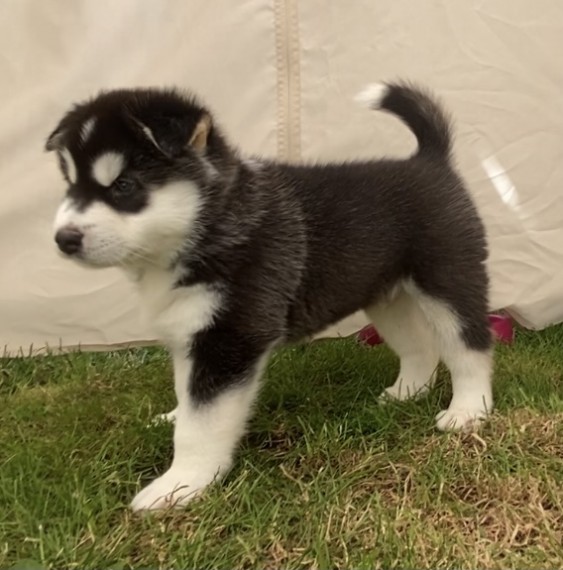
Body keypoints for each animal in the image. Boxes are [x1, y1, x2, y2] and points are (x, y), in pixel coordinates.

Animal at [46, 81, 494, 510]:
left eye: (124, 185)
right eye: (70, 185)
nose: (63, 239)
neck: (211, 224)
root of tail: (428, 159)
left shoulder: (231, 337)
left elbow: (200, 424)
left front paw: (180, 485)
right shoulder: (191, 333)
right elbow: (186, 395)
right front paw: (175, 421)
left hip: (449, 280)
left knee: (468, 347)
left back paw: (468, 411)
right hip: (386, 298)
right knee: (420, 347)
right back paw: (405, 394)